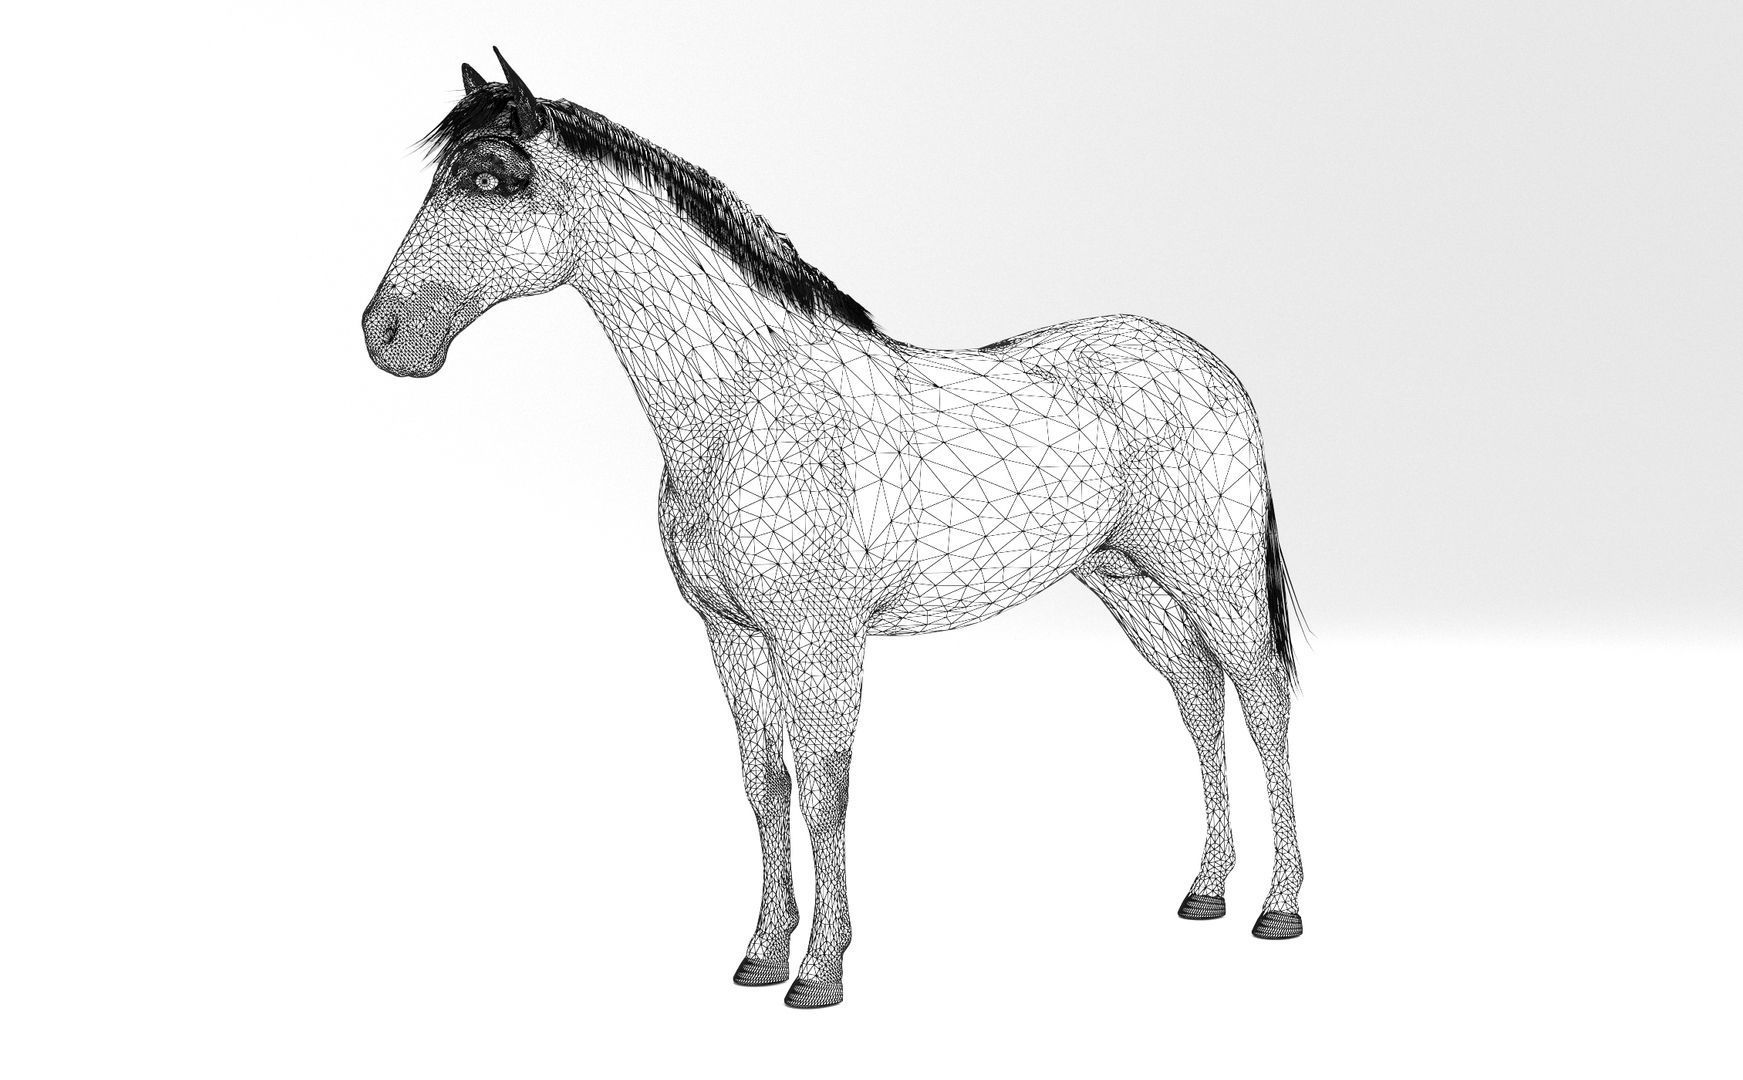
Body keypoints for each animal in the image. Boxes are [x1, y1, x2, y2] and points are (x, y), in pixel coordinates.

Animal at [362, 50, 1307, 1009]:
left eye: (489, 178)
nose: (384, 334)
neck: (746, 402)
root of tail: (1204, 365)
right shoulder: (733, 635)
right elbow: (763, 784)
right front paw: (759, 954)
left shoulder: (817, 635)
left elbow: (824, 788)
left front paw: (819, 972)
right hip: (1129, 581)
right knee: (1197, 697)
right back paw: (1203, 891)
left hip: (1214, 577)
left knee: (1262, 700)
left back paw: (1278, 907)